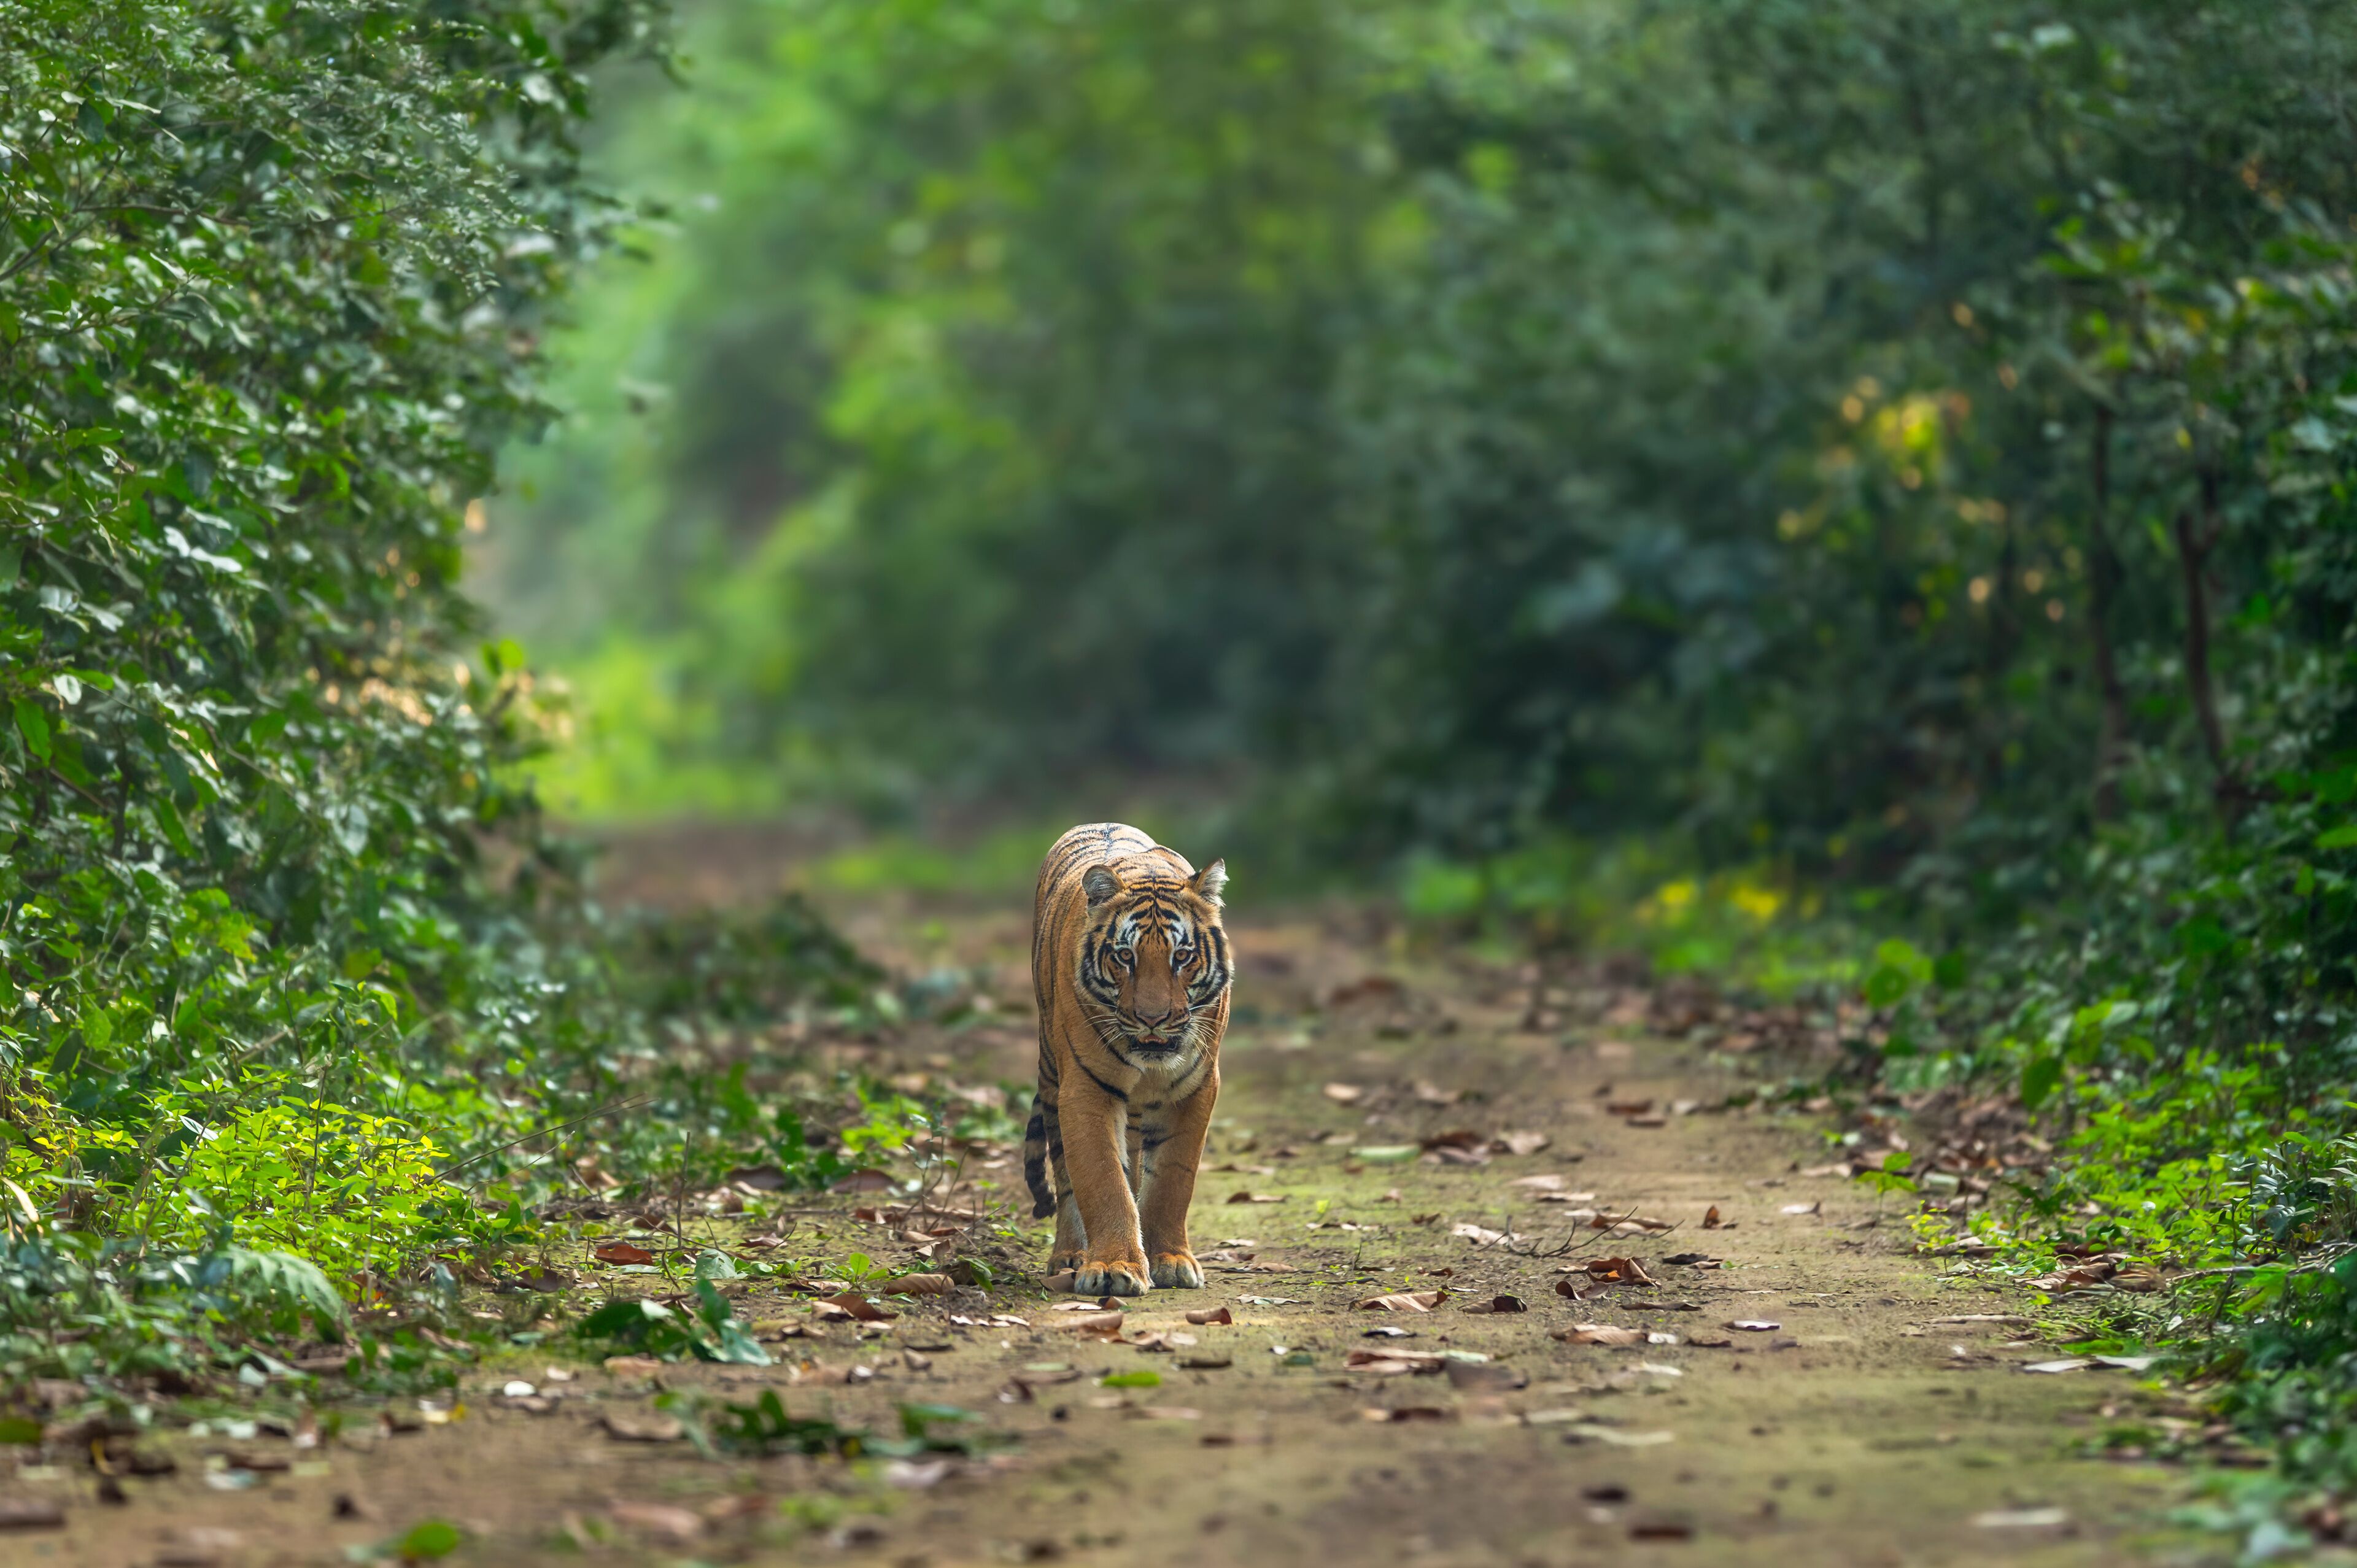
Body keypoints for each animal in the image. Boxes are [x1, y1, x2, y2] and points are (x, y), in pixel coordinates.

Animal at [1021, 823, 1231, 1296]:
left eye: (1182, 956)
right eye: (1125, 956)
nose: (1153, 1018)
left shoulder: (1197, 1088)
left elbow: (1173, 1179)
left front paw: (1170, 1259)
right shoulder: (1086, 1088)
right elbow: (1102, 1178)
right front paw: (1115, 1266)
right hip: (1051, 1074)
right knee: (1065, 1175)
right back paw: (1069, 1255)